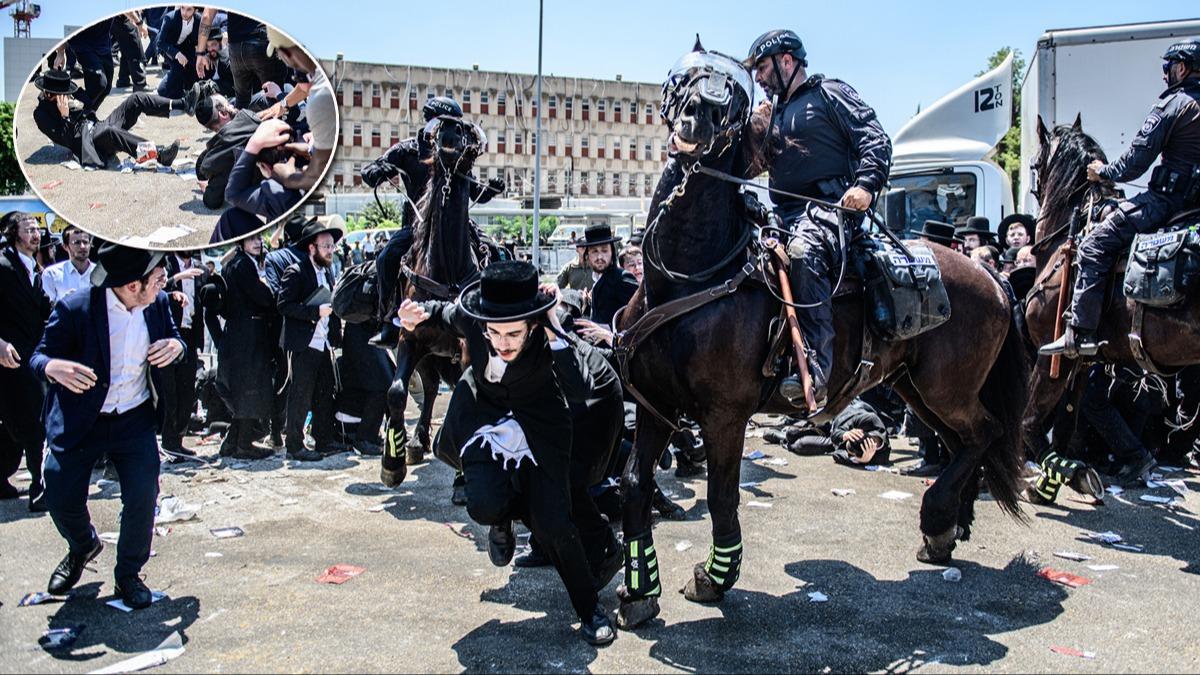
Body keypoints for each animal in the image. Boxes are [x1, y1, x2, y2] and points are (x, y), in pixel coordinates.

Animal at [614, 44, 1027, 629]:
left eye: (736, 93)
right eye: (687, 74)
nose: (702, 116)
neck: (686, 279)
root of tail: (989, 275)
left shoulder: (724, 416)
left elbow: (721, 497)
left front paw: (715, 578)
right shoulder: (656, 407)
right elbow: (634, 486)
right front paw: (638, 590)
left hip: (946, 388)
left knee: (983, 435)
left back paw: (938, 518)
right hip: (918, 390)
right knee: (962, 442)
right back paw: (948, 528)